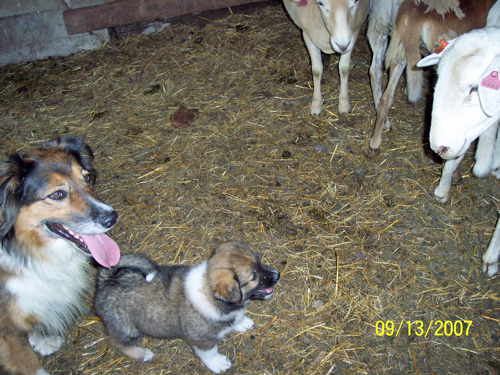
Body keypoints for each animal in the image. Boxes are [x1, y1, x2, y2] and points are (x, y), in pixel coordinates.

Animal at [0, 137, 120, 374]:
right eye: (57, 194)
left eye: (87, 178)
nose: (112, 218)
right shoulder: (7, 331)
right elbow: (29, 363)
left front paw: (41, 342)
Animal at [94, 242, 282, 374]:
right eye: (254, 276)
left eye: (259, 261)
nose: (277, 274)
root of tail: (108, 280)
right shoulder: (201, 339)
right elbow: (210, 353)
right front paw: (219, 364)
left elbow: (235, 319)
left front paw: (241, 322)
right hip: (125, 327)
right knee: (118, 343)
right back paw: (142, 353)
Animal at [418, 24, 500, 276]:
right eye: (437, 77)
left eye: (475, 87)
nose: (438, 147)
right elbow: (456, 156)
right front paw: (442, 190)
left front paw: (491, 259)